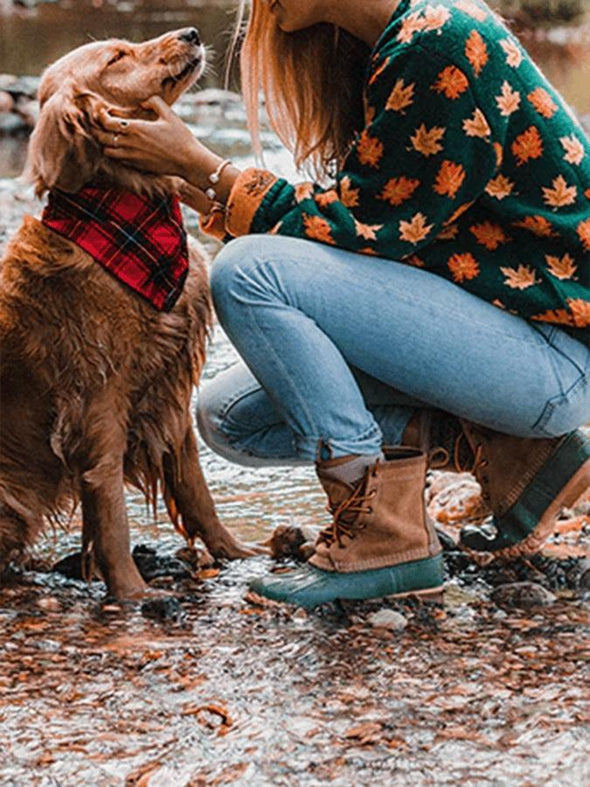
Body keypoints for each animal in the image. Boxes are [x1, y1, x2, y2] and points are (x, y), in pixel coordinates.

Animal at [0, 27, 252, 600]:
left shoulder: (170, 391)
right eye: (116, 57)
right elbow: (111, 509)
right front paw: (134, 595)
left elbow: (197, 492)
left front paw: (239, 554)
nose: (192, 32)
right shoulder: (99, 403)